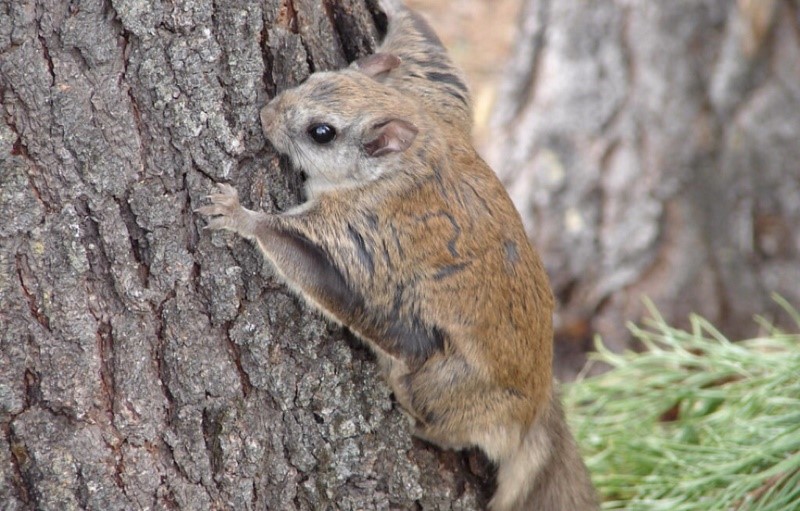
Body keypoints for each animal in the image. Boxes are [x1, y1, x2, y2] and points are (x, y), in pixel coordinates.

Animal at [197, 2, 596, 510]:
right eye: (314, 76)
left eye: (321, 133)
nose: (266, 114)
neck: (407, 158)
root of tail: (536, 409)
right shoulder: (437, 98)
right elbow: (431, 55)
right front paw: (396, 9)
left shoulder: (359, 231)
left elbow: (309, 262)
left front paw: (239, 216)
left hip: (443, 382)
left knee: (449, 426)